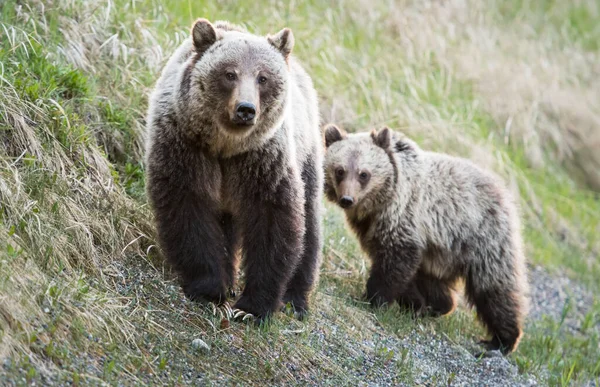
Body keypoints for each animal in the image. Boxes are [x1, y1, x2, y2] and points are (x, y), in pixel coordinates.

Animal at [146, 19, 324, 322]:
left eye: (263, 78)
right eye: (230, 73)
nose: (246, 109)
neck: (226, 146)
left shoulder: (262, 160)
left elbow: (272, 221)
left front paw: (253, 306)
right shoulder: (186, 146)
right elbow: (189, 209)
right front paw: (208, 286)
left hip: (306, 154)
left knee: (309, 223)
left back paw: (295, 298)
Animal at [324, 126, 528, 356]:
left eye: (363, 174)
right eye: (339, 170)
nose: (347, 199)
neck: (380, 202)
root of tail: (503, 191)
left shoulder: (404, 216)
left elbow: (393, 266)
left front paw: (373, 299)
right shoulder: (373, 228)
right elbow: (398, 269)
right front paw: (414, 304)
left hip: (484, 238)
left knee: (494, 287)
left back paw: (501, 341)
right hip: (441, 251)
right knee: (433, 279)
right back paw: (438, 306)